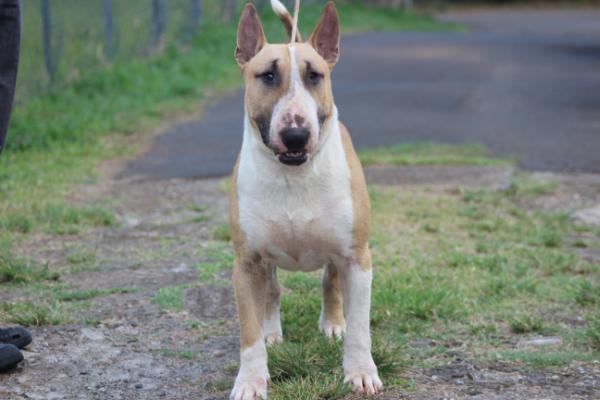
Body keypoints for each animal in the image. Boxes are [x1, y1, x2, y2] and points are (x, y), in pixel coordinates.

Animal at [227, 1, 382, 398]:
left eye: (315, 76)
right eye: (266, 75)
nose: (296, 135)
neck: (294, 175)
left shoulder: (357, 257)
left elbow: (360, 327)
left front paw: (360, 372)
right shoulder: (246, 263)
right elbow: (249, 332)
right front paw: (250, 381)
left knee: (330, 283)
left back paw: (332, 323)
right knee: (272, 291)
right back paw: (272, 330)